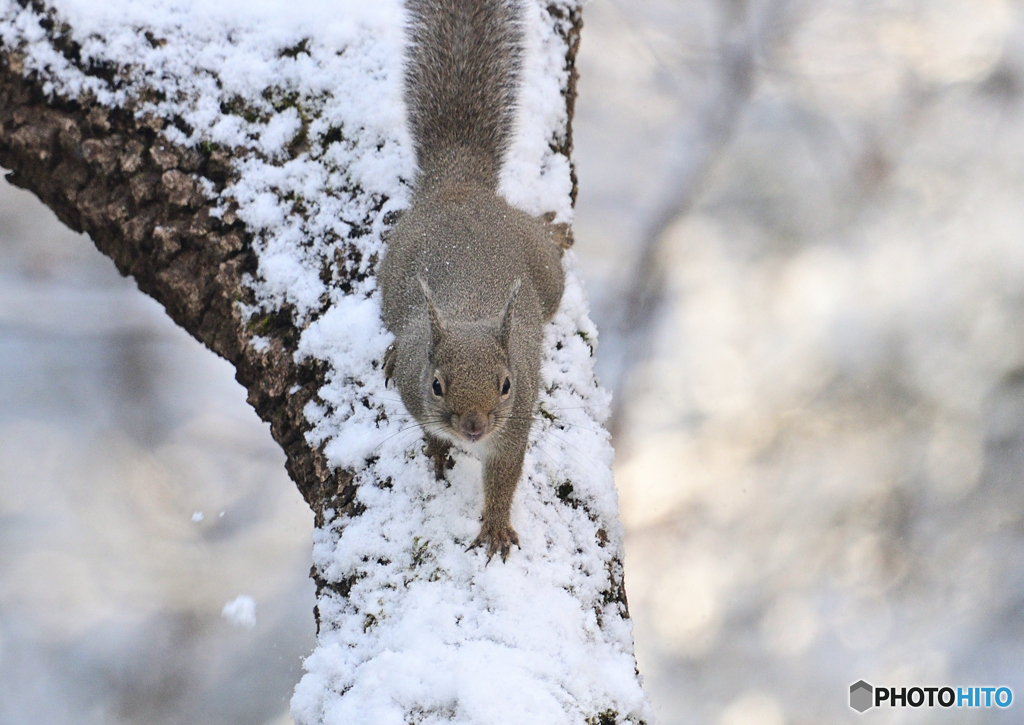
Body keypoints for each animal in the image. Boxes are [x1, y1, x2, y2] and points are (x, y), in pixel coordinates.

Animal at [378, 0, 569, 561]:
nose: (473, 425)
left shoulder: (516, 420)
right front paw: (440, 451)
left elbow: (504, 476)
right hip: (392, 273)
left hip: (545, 273)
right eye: (437, 385)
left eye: (505, 384)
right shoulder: (415, 394)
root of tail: (461, 186)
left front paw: (497, 527)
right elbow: (428, 431)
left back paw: (555, 230)